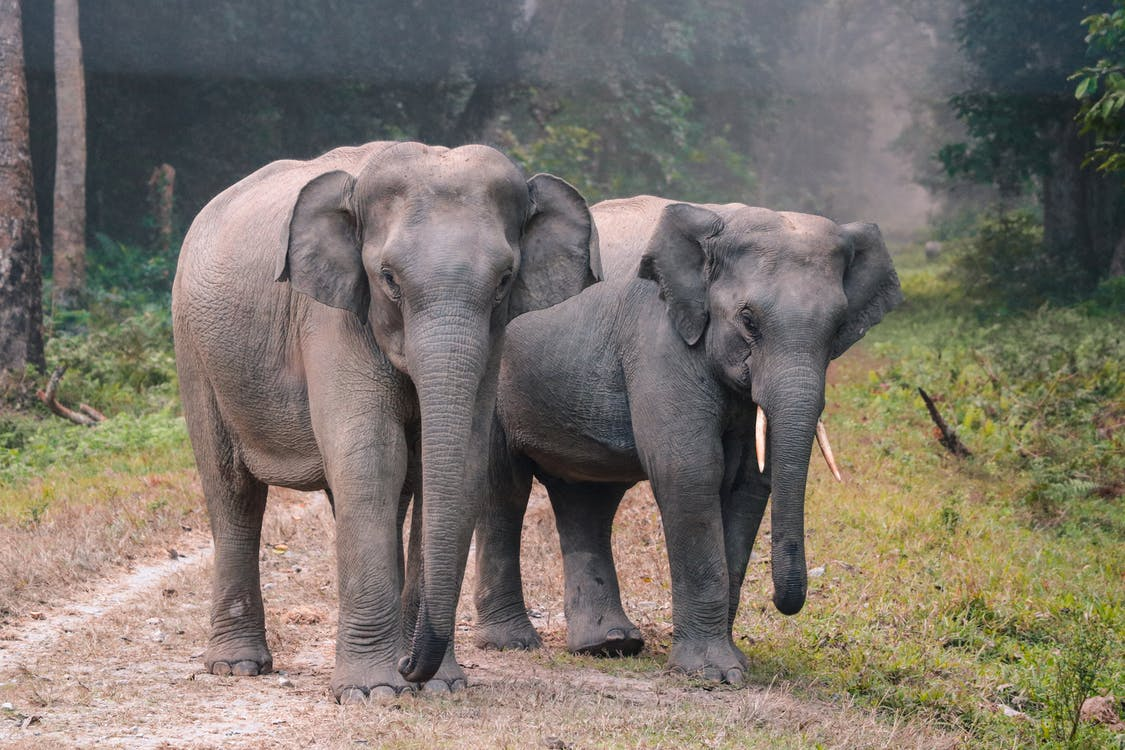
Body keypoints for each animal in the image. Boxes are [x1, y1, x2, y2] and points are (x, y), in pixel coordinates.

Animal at [171, 140, 598, 706]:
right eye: (389, 278)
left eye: (505, 279)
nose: (410, 666)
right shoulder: (331, 318)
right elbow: (372, 460)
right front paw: (373, 692)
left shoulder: (493, 341)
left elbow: (458, 467)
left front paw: (440, 685)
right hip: (196, 351)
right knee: (233, 491)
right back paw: (237, 666)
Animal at [470, 195, 900, 688]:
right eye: (748, 319)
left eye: (837, 327)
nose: (784, 603)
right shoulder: (660, 340)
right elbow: (690, 472)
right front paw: (714, 675)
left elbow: (748, 485)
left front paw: (734, 665)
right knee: (503, 489)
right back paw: (513, 643)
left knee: (586, 499)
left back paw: (609, 645)